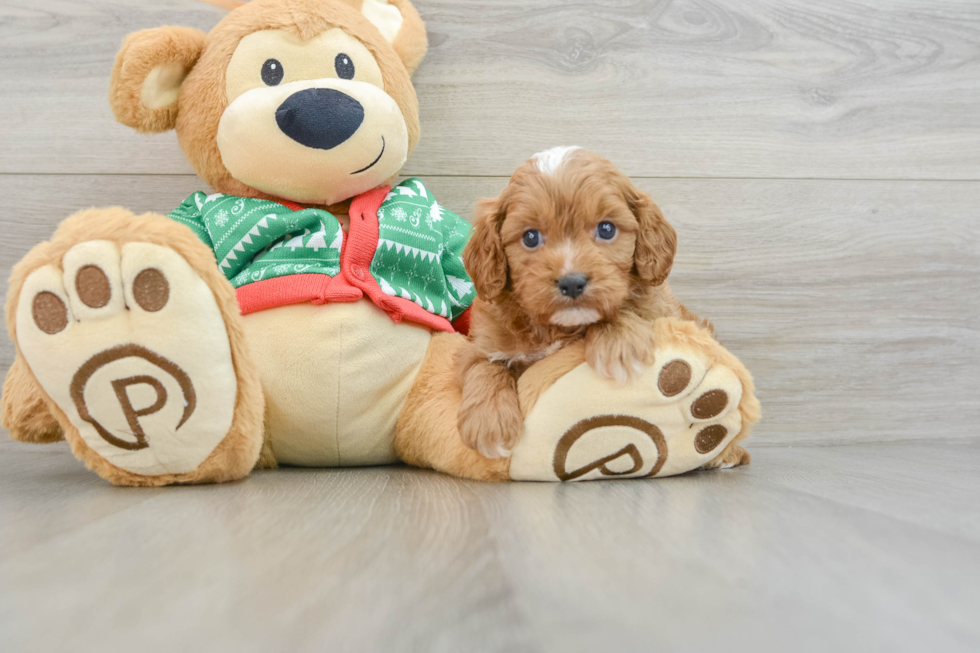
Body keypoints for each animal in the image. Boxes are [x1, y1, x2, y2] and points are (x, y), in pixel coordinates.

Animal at [456, 146, 692, 458]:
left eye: (606, 229)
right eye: (530, 237)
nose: (571, 282)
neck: (557, 328)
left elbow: (622, 309)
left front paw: (619, 343)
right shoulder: (477, 344)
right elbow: (483, 366)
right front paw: (489, 423)